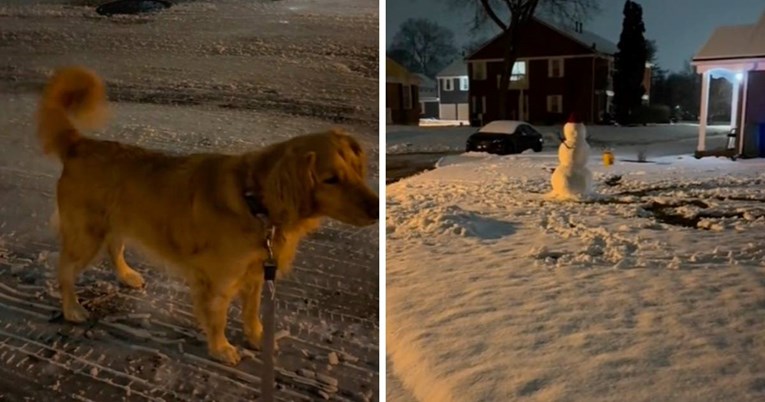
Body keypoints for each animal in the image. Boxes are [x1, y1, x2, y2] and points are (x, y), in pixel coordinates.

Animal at [37, 66, 378, 364]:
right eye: (330, 179)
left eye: (356, 168)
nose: (377, 208)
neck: (255, 202)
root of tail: (80, 144)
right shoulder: (217, 281)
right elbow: (218, 318)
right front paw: (221, 348)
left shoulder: (256, 273)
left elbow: (252, 312)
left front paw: (257, 337)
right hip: (86, 235)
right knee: (65, 269)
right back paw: (72, 309)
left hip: (116, 222)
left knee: (114, 247)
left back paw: (126, 275)